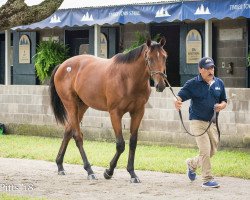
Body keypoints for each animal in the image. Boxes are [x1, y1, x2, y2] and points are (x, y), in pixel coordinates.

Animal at [49, 36, 168, 182]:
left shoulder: (138, 112)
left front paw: (132, 173)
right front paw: (109, 171)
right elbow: (120, 144)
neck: (128, 78)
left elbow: (133, 142)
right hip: (71, 105)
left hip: (82, 106)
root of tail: (63, 66)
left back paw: (60, 165)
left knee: (67, 131)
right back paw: (89, 170)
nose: (160, 85)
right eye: (149, 58)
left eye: (165, 57)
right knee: (77, 136)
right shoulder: (115, 113)